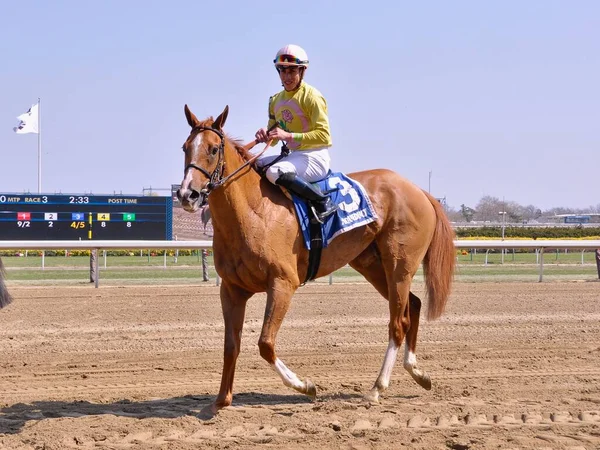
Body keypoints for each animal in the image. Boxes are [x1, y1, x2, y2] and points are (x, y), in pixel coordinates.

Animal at [177, 105, 454, 414]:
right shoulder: (231, 290)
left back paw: (377, 388)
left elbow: (265, 343)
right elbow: (231, 345)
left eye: (213, 149)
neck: (254, 212)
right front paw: (221, 400)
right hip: (371, 265)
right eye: (185, 147)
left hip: (399, 265)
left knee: (398, 323)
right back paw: (418, 372)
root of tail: (419, 191)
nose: (187, 194)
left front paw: (305, 385)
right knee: (413, 306)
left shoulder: (283, 284)